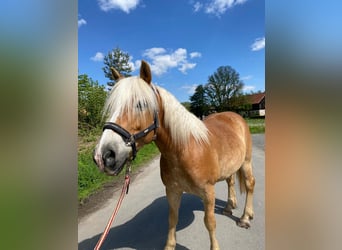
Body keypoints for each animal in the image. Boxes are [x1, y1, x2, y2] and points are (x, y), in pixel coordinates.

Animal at [92, 60, 255, 250]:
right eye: (112, 107)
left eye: (141, 104)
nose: (104, 155)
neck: (184, 151)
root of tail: (235, 116)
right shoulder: (172, 191)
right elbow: (172, 219)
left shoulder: (208, 192)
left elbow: (210, 222)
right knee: (230, 181)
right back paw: (229, 207)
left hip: (246, 162)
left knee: (250, 184)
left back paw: (245, 218)